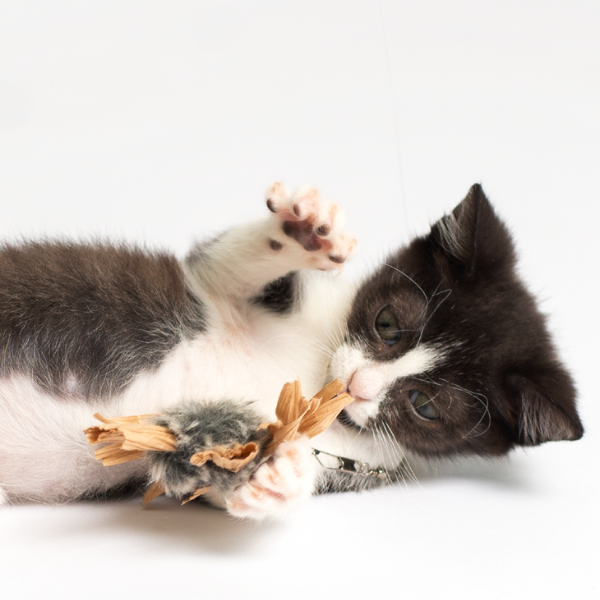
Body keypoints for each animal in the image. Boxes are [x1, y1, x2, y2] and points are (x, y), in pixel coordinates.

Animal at [0, 183, 584, 520]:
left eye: (424, 406)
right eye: (388, 324)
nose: (357, 386)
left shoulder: (358, 461)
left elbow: (188, 478)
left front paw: (267, 478)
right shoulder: (219, 285)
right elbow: (228, 263)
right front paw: (304, 230)